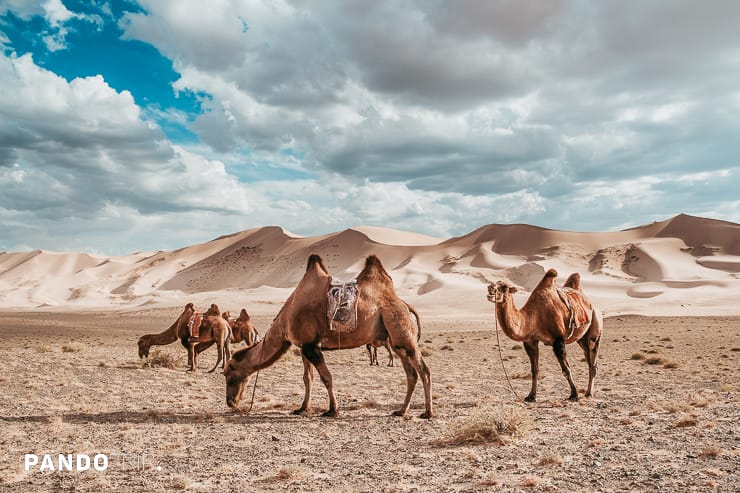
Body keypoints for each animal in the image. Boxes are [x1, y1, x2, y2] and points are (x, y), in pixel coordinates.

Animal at [223, 254, 436, 418]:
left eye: (229, 376)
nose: (230, 402)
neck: (285, 320)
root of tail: (404, 304)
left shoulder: (311, 346)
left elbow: (326, 377)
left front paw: (332, 410)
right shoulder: (304, 346)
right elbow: (307, 378)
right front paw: (302, 408)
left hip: (402, 331)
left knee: (423, 370)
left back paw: (427, 412)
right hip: (396, 342)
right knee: (411, 374)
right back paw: (401, 411)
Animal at [488, 270, 604, 400]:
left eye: (504, 287)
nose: (490, 288)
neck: (533, 317)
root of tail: (592, 305)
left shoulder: (558, 340)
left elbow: (566, 369)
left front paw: (574, 394)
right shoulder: (530, 341)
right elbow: (534, 370)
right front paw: (531, 396)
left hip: (595, 325)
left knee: (593, 360)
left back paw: (589, 393)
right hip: (582, 340)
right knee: (589, 360)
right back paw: (588, 391)